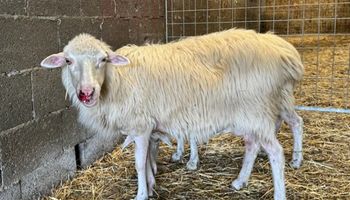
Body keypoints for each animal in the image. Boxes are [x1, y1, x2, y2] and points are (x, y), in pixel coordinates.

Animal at [40, 28, 304, 200]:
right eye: (68, 61)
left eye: (103, 59)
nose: (86, 93)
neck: (117, 81)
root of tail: (283, 51)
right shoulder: (149, 127)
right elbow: (149, 158)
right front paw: (151, 184)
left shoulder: (141, 125)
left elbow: (139, 162)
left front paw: (141, 194)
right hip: (249, 115)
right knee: (253, 145)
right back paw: (240, 182)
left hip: (258, 110)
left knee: (277, 150)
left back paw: (283, 184)